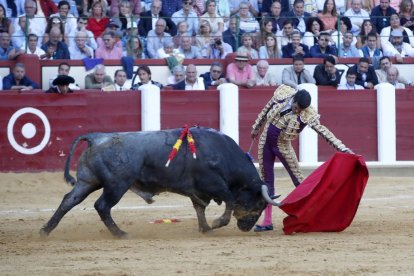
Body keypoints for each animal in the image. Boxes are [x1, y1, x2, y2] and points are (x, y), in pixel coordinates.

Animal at [40, 127, 280, 237]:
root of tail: (96, 137)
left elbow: (199, 208)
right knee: (102, 206)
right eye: (260, 204)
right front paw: (216, 223)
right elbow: (228, 201)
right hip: (116, 186)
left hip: (87, 182)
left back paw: (45, 230)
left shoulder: (198, 191)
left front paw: (205, 228)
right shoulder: (215, 185)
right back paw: (120, 233)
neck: (222, 154)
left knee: (69, 201)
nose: (246, 227)